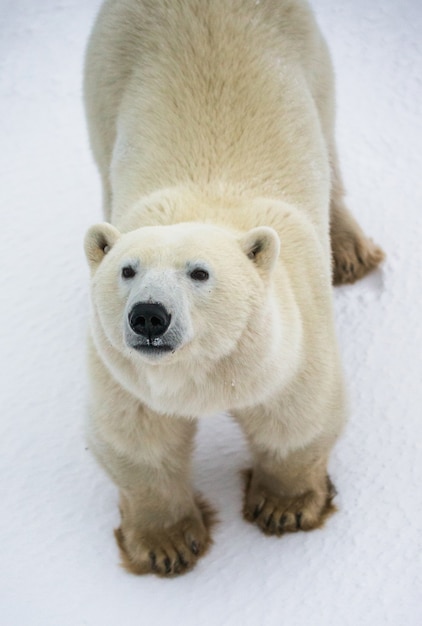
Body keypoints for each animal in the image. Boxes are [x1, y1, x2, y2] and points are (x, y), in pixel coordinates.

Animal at [84, 0, 384, 576]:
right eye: (127, 270)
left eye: (199, 272)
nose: (149, 315)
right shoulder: (125, 373)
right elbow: (138, 441)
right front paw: (168, 546)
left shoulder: (288, 343)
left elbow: (300, 418)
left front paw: (283, 509)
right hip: (105, 78)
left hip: (308, 54)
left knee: (329, 140)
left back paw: (350, 252)